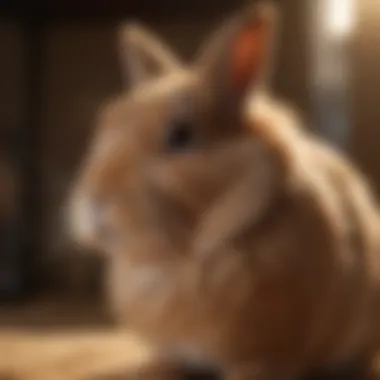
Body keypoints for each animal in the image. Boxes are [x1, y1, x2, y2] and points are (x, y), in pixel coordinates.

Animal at [70, 2, 380, 380]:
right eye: (107, 125)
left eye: (180, 136)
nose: (94, 201)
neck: (180, 263)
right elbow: (167, 361)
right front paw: (150, 369)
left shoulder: (268, 352)